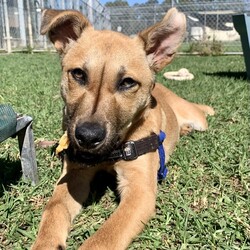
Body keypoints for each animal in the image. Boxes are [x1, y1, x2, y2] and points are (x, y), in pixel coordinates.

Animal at [32, 7, 214, 250]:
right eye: (78, 74)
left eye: (127, 82)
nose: (87, 137)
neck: (113, 150)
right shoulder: (74, 174)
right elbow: (54, 208)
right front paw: (45, 242)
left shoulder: (140, 192)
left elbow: (105, 237)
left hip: (198, 120)